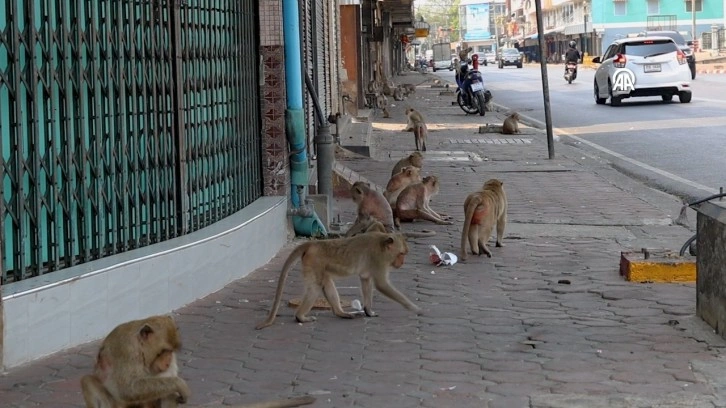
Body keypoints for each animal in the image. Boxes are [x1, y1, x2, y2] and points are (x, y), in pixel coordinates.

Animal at [256, 231, 424, 330]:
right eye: (401, 254)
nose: (401, 263)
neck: (382, 244)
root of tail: (312, 244)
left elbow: (366, 280)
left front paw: (368, 311)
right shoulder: (378, 260)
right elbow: (381, 284)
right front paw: (413, 307)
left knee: (326, 283)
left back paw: (340, 312)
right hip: (313, 263)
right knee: (315, 288)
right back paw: (301, 317)